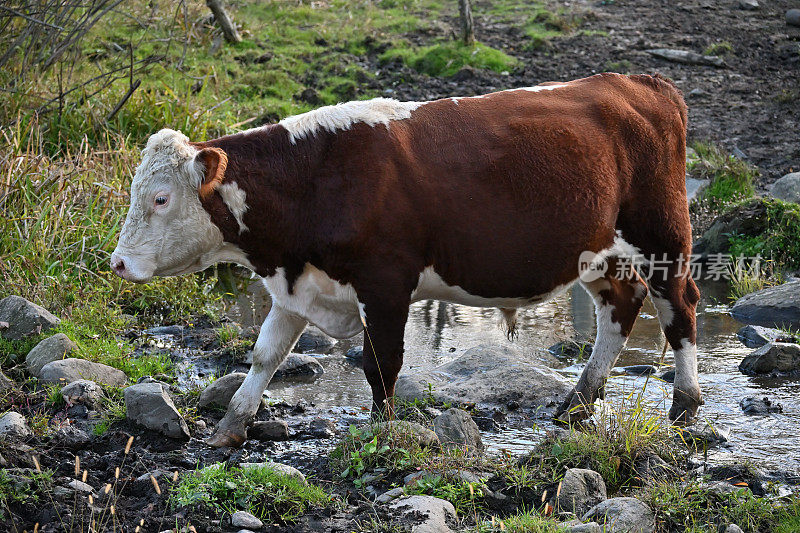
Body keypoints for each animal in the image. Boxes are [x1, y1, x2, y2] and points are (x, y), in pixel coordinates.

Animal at [111, 70, 700, 444]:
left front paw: (382, 433)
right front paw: (229, 427)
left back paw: (686, 403)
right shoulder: (298, 285)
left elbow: (381, 365)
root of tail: (640, 83)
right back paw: (578, 402)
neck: (316, 179)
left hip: (663, 234)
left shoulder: (385, 284)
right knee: (621, 306)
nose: (117, 264)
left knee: (679, 308)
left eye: (160, 198)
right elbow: (264, 356)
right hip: (598, 251)